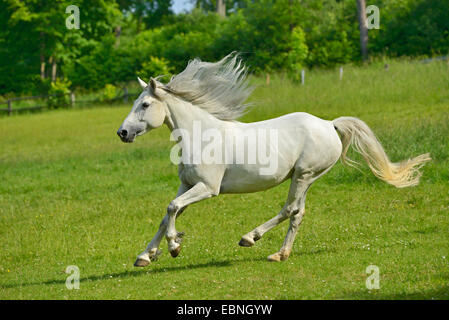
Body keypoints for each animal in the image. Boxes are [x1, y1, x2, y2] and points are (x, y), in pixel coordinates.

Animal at [116, 53, 430, 266]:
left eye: (145, 104)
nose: (122, 132)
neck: (202, 135)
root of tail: (329, 124)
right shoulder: (188, 185)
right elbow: (167, 214)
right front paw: (146, 255)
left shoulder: (207, 188)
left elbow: (171, 208)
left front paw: (174, 246)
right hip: (306, 178)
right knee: (298, 213)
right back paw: (280, 254)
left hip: (303, 175)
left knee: (289, 209)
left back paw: (250, 238)